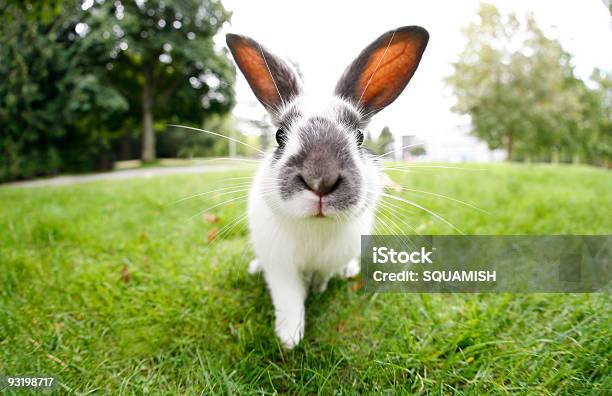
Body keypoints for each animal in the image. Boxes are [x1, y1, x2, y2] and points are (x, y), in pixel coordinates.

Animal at [225, 26, 430, 346]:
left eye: (359, 136)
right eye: (280, 135)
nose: (320, 179)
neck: (315, 227)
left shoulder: (329, 261)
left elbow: (321, 278)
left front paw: (317, 291)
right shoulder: (281, 269)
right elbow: (289, 299)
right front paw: (289, 338)